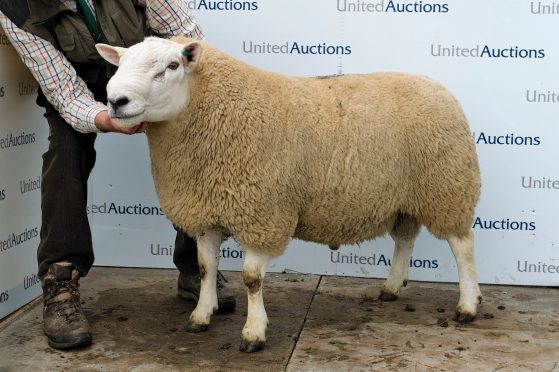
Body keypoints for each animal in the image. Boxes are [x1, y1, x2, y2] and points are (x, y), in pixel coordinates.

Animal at [95, 36, 482, 354]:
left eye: (172, 67)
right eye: (121, 63)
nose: (116, 101)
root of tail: (437, 88)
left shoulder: (263, 214)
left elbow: (252, 279)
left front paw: (254, 332)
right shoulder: (206, 211)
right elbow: (206, 268)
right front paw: (202, 315)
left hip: (447, 187)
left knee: (462, 247)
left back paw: (468, 304)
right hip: (405, 198)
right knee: (405, 239)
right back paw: (391, 287)